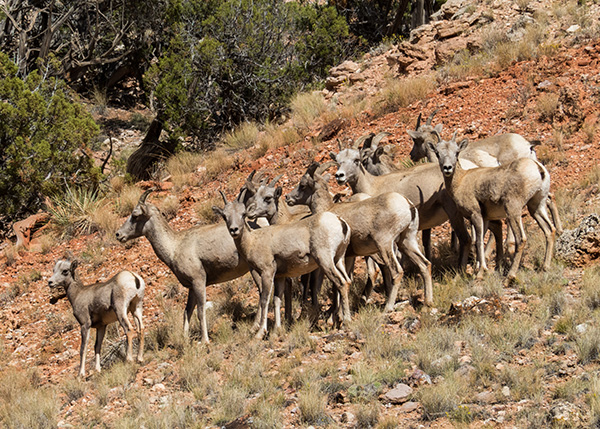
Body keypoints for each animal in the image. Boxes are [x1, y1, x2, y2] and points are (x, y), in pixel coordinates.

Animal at [214, 189, 352, 336]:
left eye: (243, 214)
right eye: (225, 216)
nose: (234, 230)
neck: (252, 241)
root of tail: (340, 222)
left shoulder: (267, 273)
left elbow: (265, 300)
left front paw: (260, 333)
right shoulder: (279, 277)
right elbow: (277, 300)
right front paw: (276, 331)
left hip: (325, 261)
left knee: (341, 283)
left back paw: (346, 322)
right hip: (338, 260)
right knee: (347, 281)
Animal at [286, 162, 432, 306]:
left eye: (302, 185)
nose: (288, 197)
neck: (328, 209)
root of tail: (408, 204)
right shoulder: (349, 256)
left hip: (385, 245)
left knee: (397, 272)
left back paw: (388, 307)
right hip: (407, 241)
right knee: (425, 264)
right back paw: (428, 302)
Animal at [428, 132, 556, 282]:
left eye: (456, 152)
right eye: (438, 153)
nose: (447, 168)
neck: (461, 181)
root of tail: (538, 169)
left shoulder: (476, 215)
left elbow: (478, 241)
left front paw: (480, 272)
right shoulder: (485, 218)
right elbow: (480, 241)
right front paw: (479, 270)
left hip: (513, 210)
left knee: (521, 239)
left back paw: (509, 277)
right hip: (536, 207)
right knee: (550, 230)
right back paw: (545, 267)